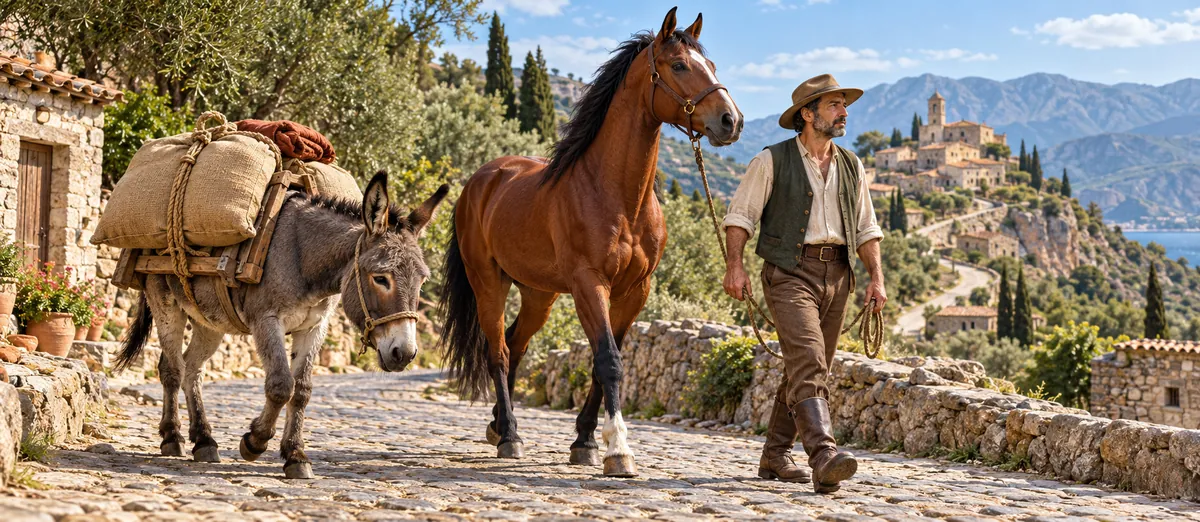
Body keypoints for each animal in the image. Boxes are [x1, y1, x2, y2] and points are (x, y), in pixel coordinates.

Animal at [115, 172, 448, 479]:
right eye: (381, 278)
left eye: (422, 281)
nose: (404, 353)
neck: (304, 257)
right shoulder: (266, 319)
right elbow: (280, 386)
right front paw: (255, 442)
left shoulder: (314, 327)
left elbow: (302, 390)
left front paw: (296, 455)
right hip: (165, 301)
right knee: (172, 369)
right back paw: (173, 437)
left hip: (209, 320)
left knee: (192, 369)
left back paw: (204, 440)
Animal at [438, 7, 741, 477]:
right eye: (678, 65)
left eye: (710, 65)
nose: (730, 121)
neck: (615, 194)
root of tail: (480, 181)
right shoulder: (589, 283)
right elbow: (608, 361)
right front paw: (618, 450)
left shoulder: (634, 291)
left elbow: (604, 364)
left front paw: (585, 442)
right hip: (488, 281)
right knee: (499, 352)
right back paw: (510, 436)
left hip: (538, 294)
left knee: (516, 344)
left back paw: (498, 425)